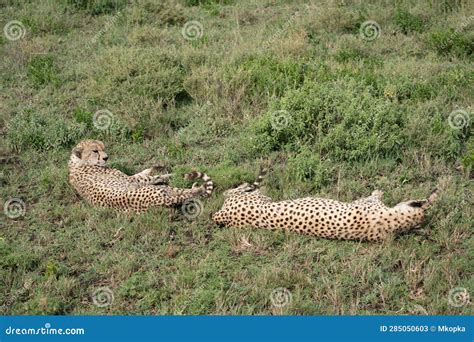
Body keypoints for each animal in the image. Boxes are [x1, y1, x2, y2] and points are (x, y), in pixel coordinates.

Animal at [68, 140, 213, 212]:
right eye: (95, 150)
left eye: (103, 148)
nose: (106, 157)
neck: (77, 163)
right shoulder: (132, 180)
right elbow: (152, 177)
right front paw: (173, 173)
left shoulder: (132, 177)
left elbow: (144, 172)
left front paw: (157, 166)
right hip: (162, 189)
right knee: (188, 192)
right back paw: (198, 187)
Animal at [213, 168, 438, 240]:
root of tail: (223, 216)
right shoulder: (365, 203)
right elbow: (373, 196)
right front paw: (379, 191)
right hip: (256, 197)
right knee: (231, 190)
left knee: (231, 191)